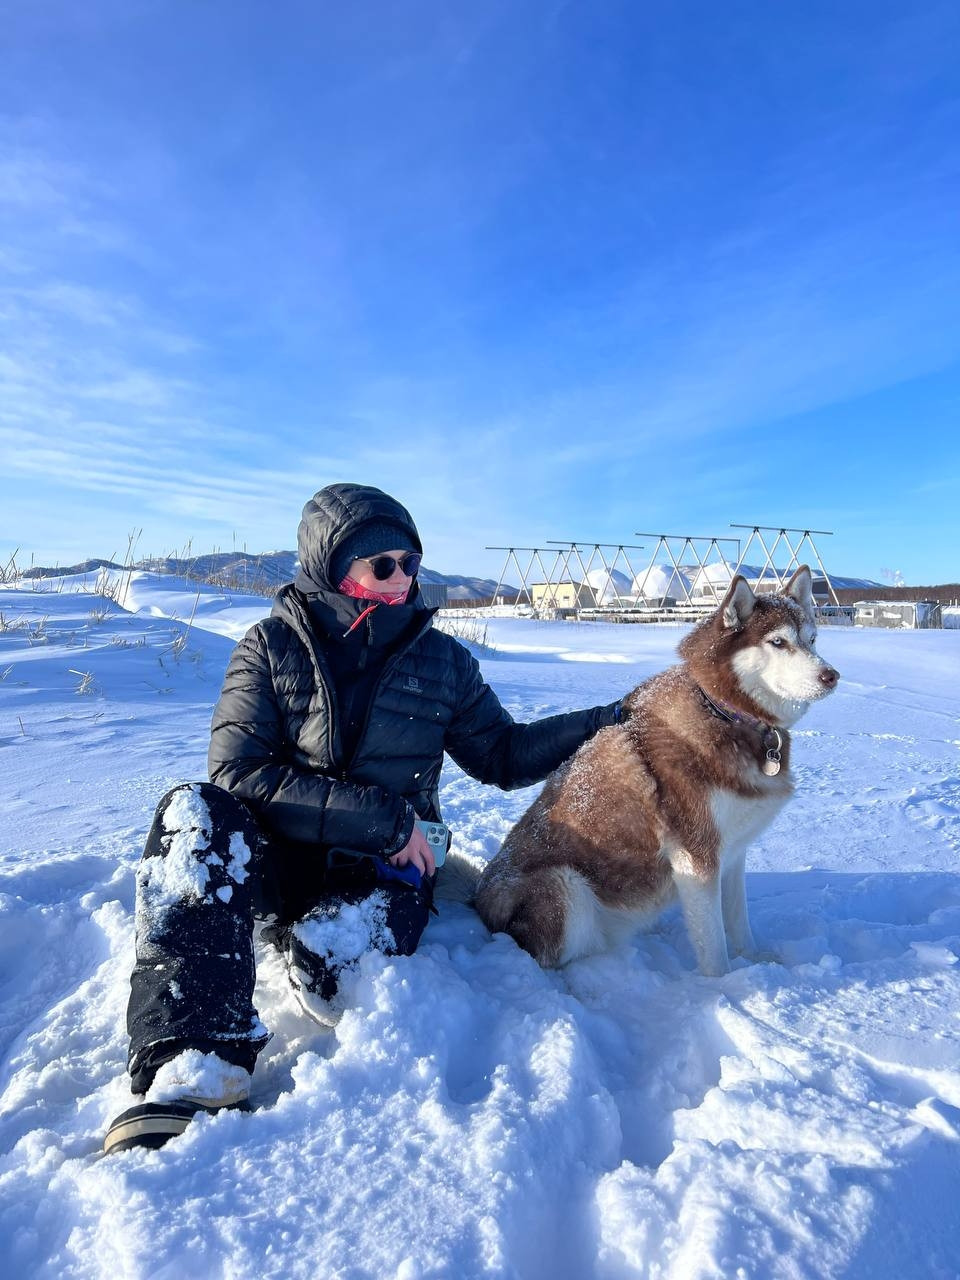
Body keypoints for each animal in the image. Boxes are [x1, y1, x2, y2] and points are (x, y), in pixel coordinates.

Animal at [473, 566, 839, 976]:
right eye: (778, 642)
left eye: (812, 640)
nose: (832, 675)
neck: (724, 711)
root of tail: (478, 900)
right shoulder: (697, 859)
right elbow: (714, 950)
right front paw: (727, 986)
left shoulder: (732, 853)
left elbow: (737, 921)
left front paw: (754, 960)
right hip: (564, 888)